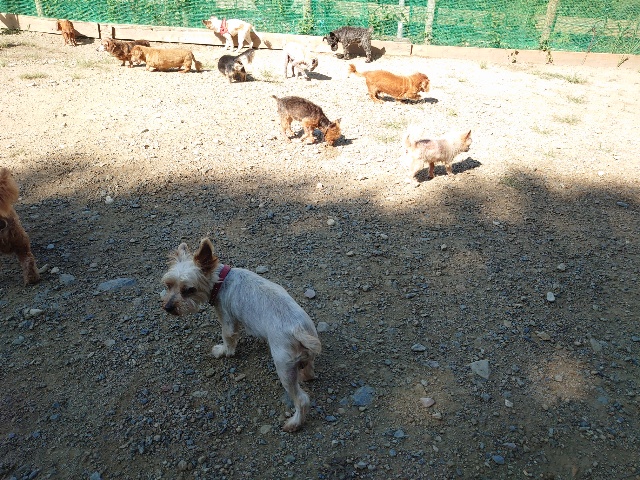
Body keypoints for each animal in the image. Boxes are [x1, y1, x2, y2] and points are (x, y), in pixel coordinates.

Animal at [161, 238, 321, 432]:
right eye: (169, 285)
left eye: (189, 290)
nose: (168, 307)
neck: (220, 280)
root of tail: (298, 330)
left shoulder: (227, 319)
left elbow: (228, 338)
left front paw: (223, 351)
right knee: (310, 370)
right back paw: (305, 375)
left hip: (284, 366)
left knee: (302, 399)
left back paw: (294, 423)